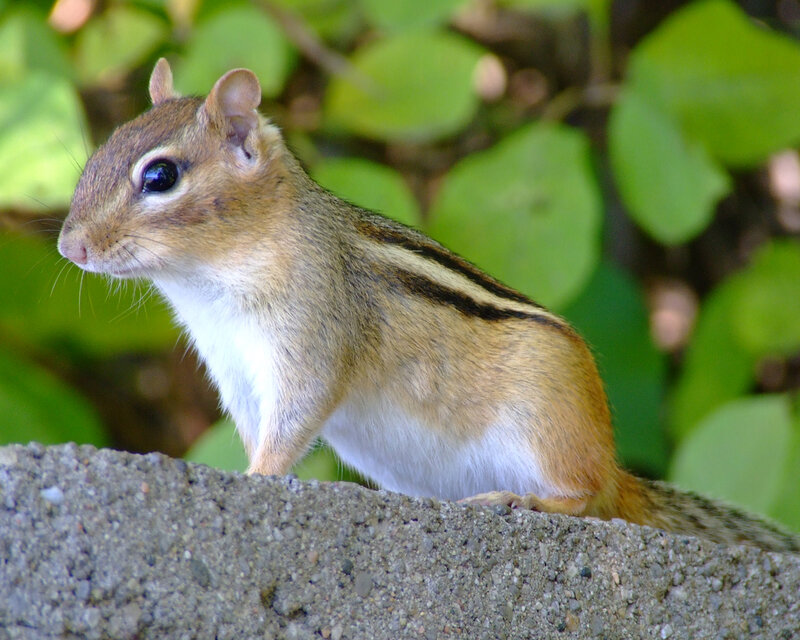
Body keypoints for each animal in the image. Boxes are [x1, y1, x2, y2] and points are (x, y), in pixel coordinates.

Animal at [58, 58, 799, 554]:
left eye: (160, 176)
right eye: (100, 151)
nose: (69, 246)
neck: (210, 280)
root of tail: (615, 462)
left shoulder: (312, 333)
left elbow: (294, 419)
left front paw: (259, 477)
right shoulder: (235, 372)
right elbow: (253, 427)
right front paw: (233, 473)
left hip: (544, 419)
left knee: (587, 497)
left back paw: (519, 497)